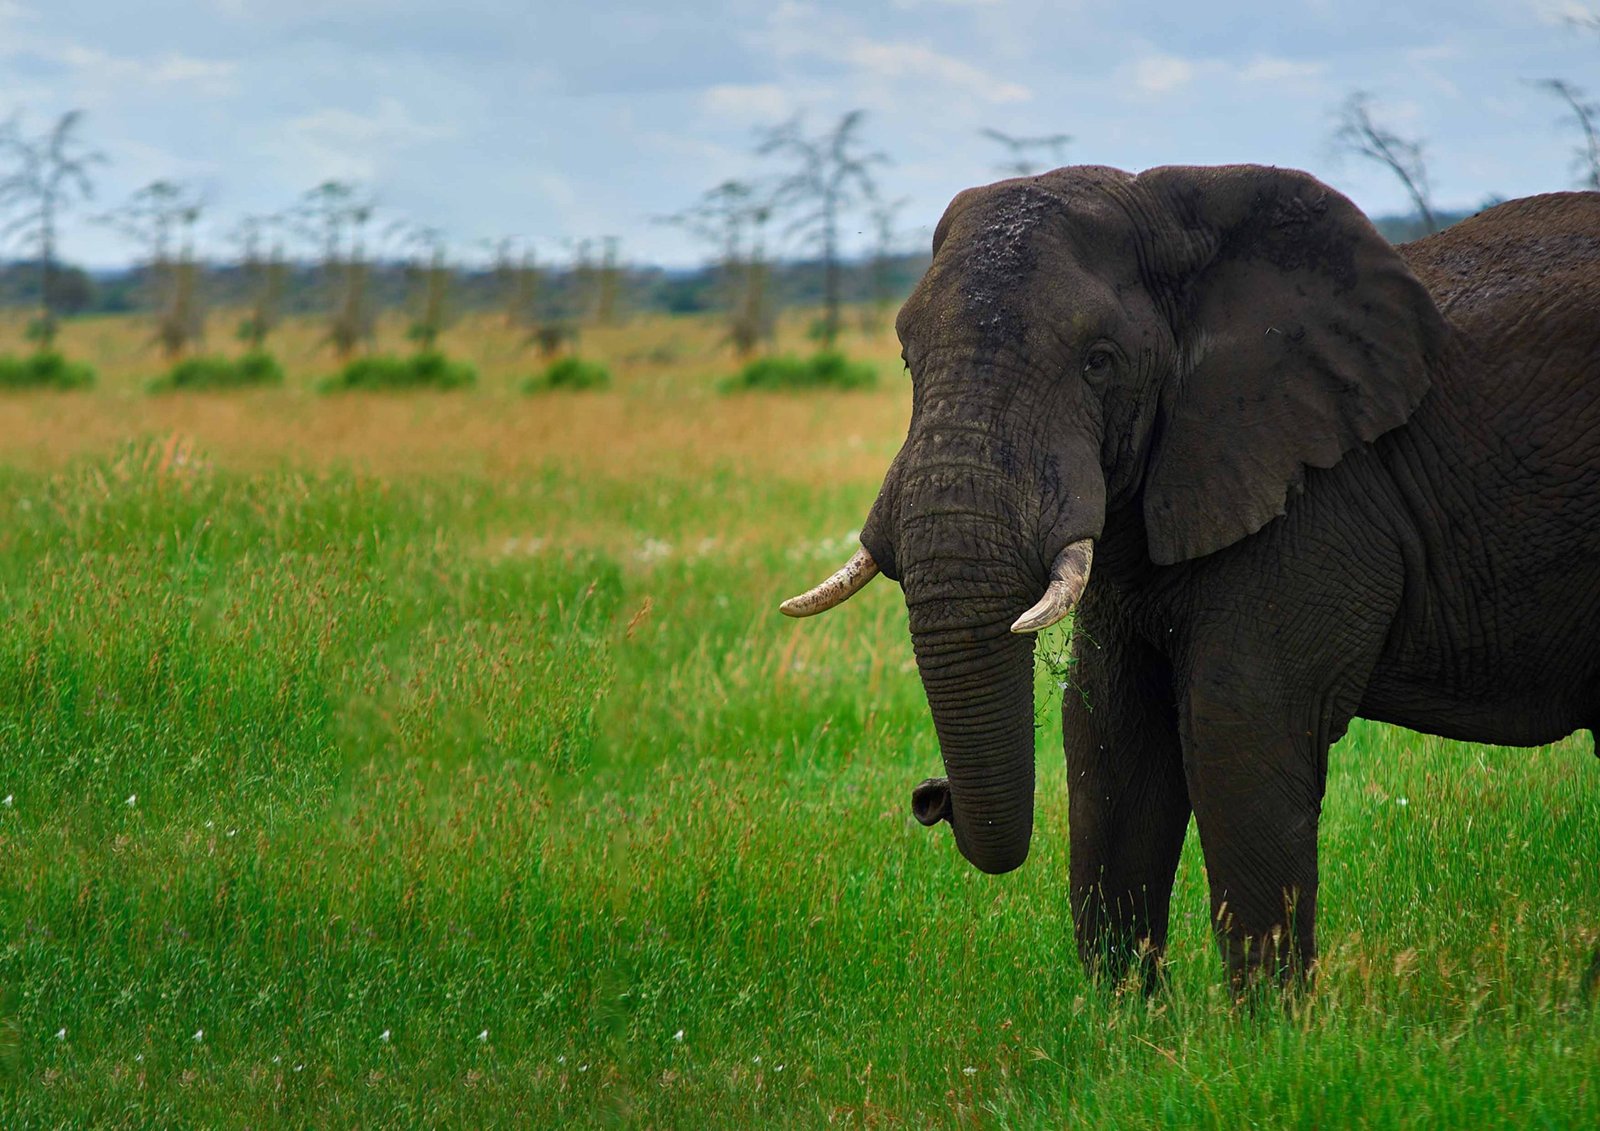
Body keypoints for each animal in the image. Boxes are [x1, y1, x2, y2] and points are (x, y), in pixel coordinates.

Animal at [780, 163, 1600, 987]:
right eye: (907, 360)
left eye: (1099, 361)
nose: (929, 795)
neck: (1183, 215)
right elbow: (1109, 732)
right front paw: (1125, 1018)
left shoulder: (1312, 492)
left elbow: (1237, 724)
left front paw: (1267, 1023)